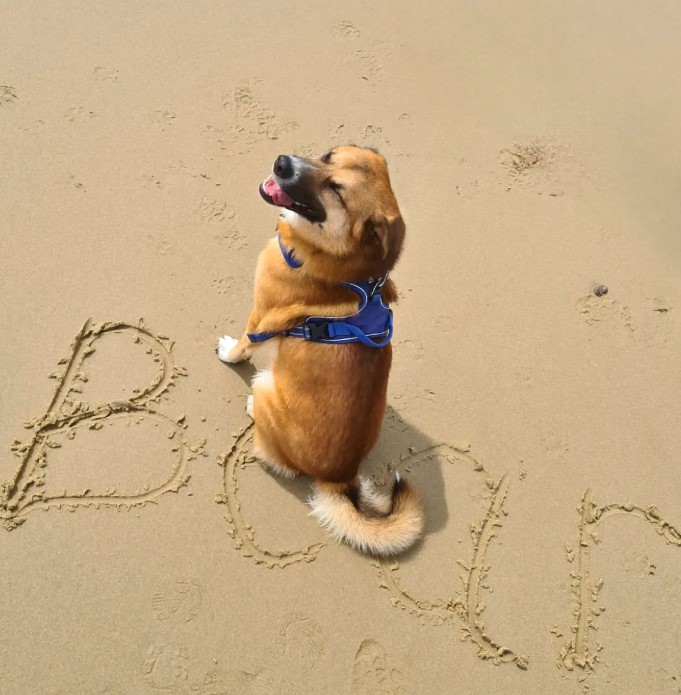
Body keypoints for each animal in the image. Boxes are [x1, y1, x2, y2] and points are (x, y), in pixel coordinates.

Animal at [215, 144, 422, 556]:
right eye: (328, 155)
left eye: (336, 191)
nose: (282, 164)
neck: (341, 268)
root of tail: (340, 478)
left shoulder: (261, 316)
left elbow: (245, 343)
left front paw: (229, 353)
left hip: (267, 390)